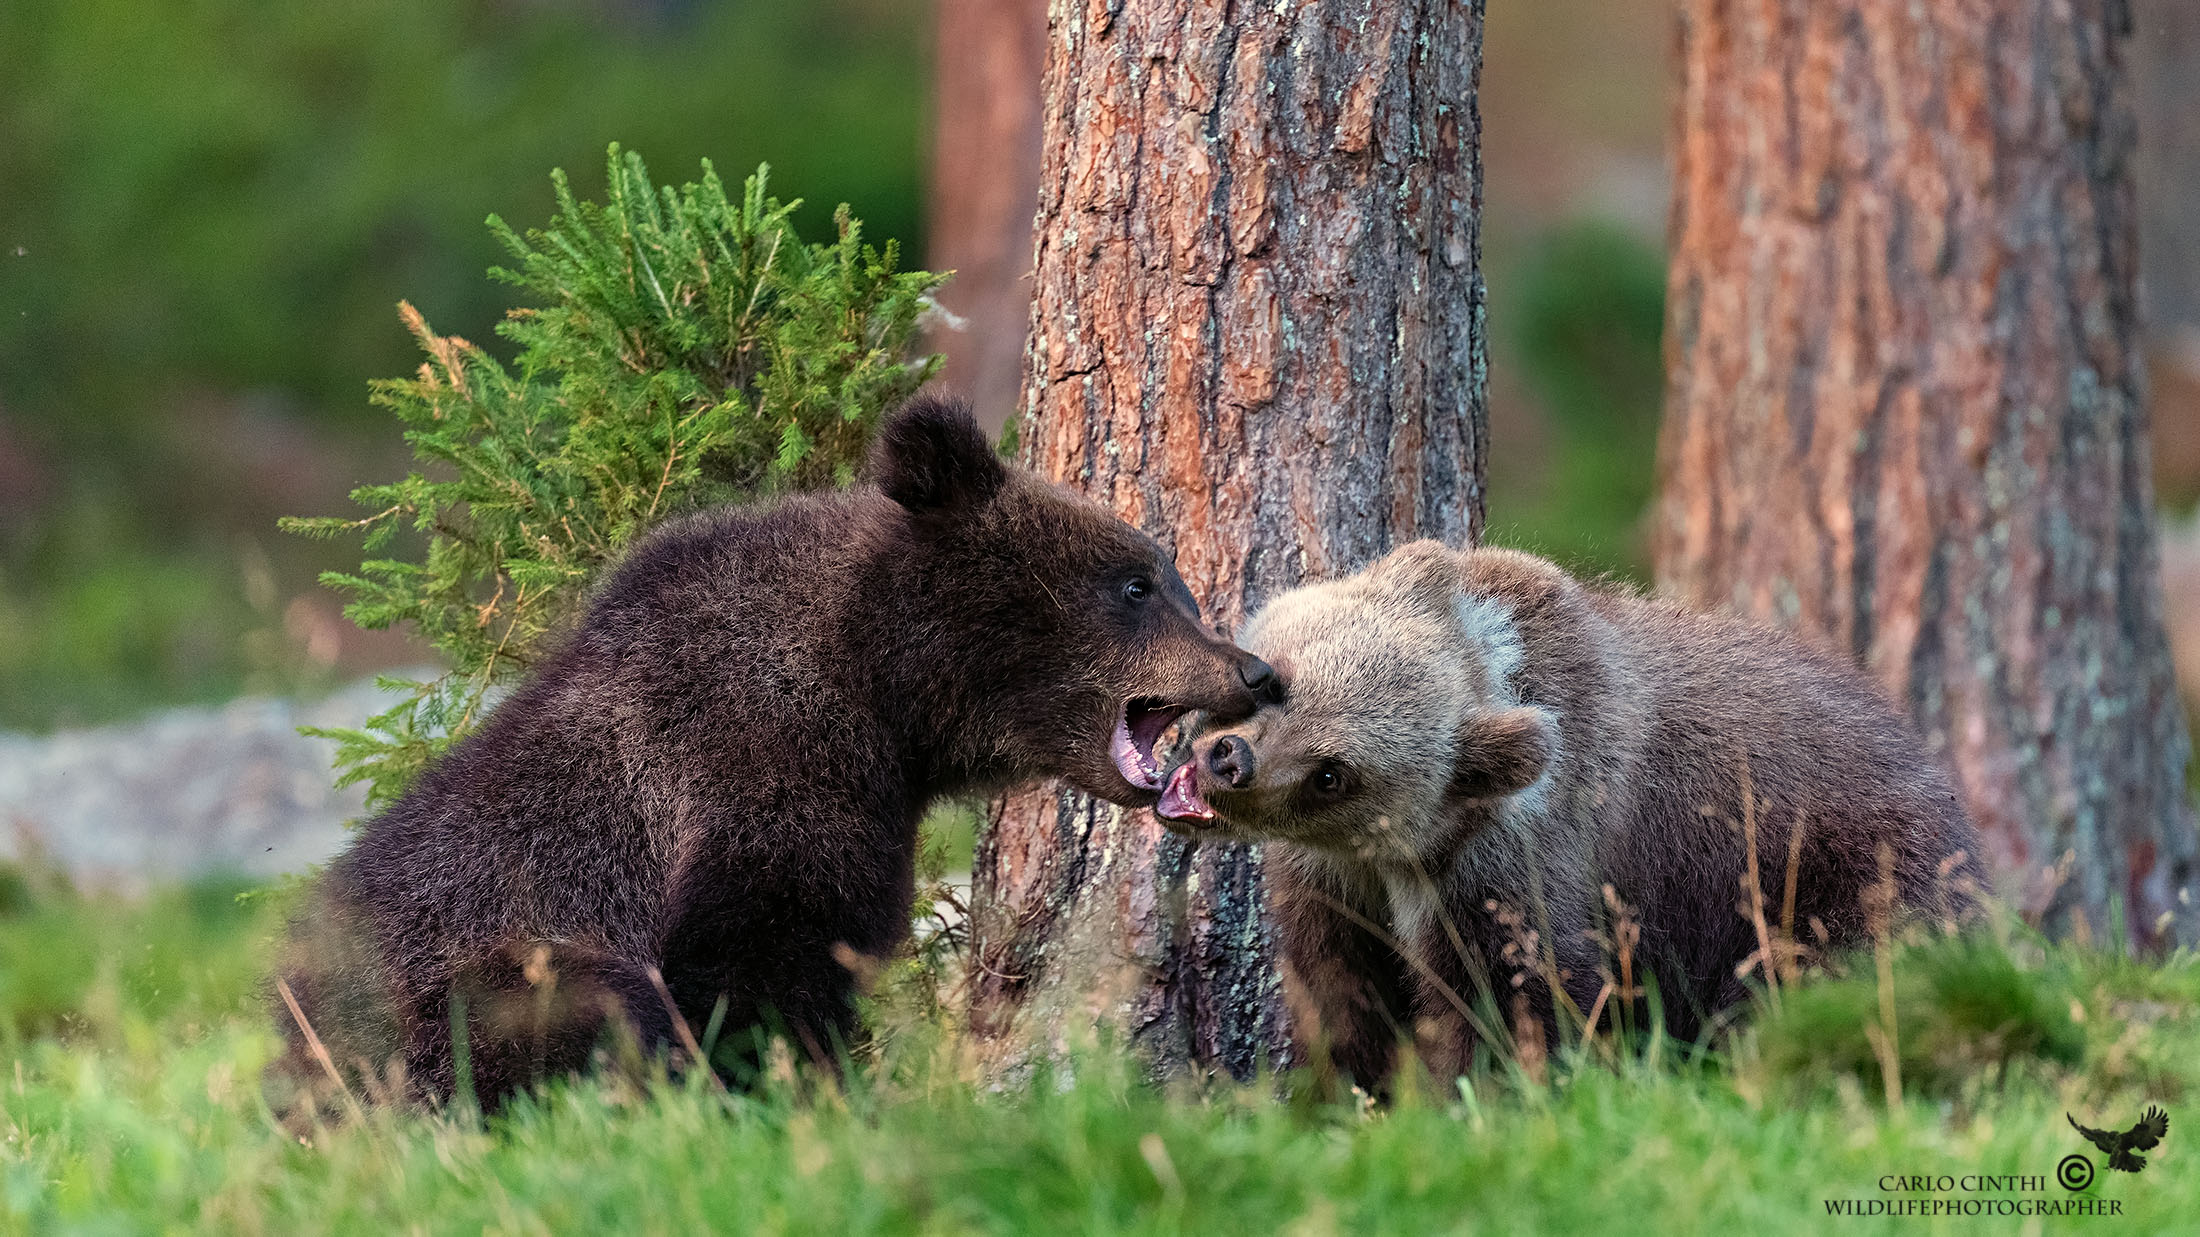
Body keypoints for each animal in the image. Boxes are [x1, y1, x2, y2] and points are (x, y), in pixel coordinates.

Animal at [274, 395, 1276, 1110]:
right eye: (1134, 584)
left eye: (1173, 581)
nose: (1254, 669)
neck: (882, 693)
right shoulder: (758, 774)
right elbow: (762, 964)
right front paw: (809, 1092)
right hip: (445, 991)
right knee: (567, 1003)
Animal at [1153, 540, 1985, 1088]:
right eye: (1279, 681)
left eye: (1334, 772)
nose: (1232, 760)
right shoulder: (1337, 883)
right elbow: (1342, 989)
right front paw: (1354, 1087)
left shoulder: (1511, 872)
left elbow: (1520, 998)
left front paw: (1490, 1094)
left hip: (1837, 879)